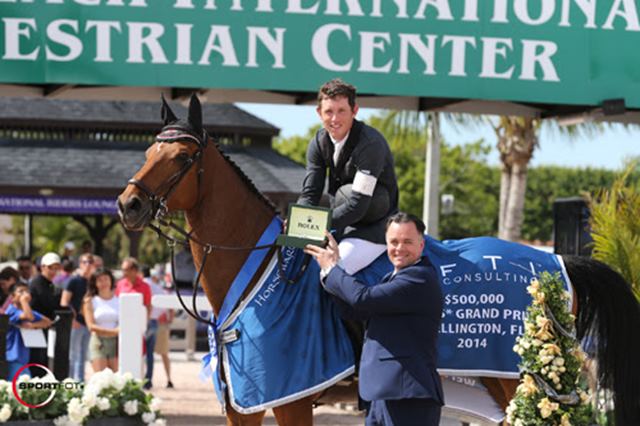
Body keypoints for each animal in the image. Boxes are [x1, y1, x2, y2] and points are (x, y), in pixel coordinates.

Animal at [119, 95, 640, 426]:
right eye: (148, 149)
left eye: (182, 156)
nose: (129, 205)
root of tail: (556, 262)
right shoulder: (241, 409)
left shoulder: (292, 401)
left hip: (521, 383)